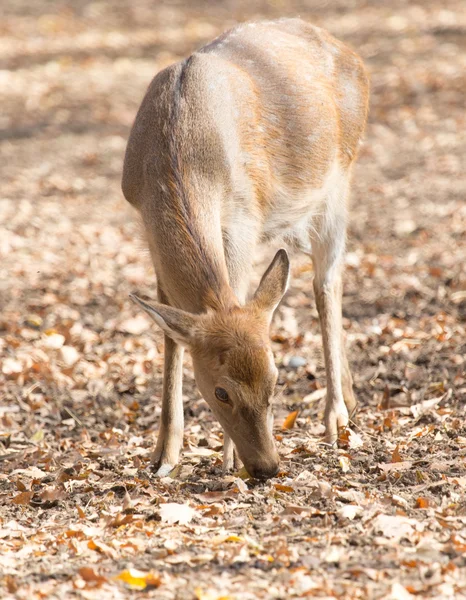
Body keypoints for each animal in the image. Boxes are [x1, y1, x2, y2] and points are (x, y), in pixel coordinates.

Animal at [122, 16, 370, 480]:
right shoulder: (145, 226)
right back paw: (350, 396)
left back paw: (337, 417)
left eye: (276, 380)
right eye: (221, 392)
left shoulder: (243, 214)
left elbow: (234, 292)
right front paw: (163, 456)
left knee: (327, 284)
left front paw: (227, 458)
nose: (267, 466)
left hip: (340, 181)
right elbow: (169, 336)